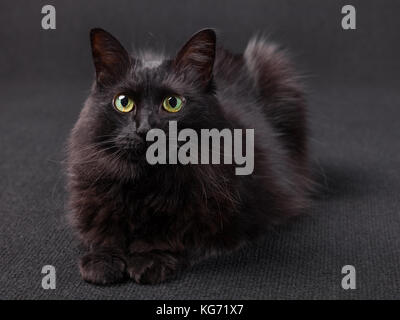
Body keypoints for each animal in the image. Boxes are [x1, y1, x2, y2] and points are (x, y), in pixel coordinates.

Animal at [66, 26, 312, 282]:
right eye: (123, 102)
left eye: (172, 103)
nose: (145, 129)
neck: (146, 185)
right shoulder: (92, 205)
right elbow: (102, 235)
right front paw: (102, 262)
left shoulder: (227, 221)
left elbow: (178, 236)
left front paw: (149, 259)